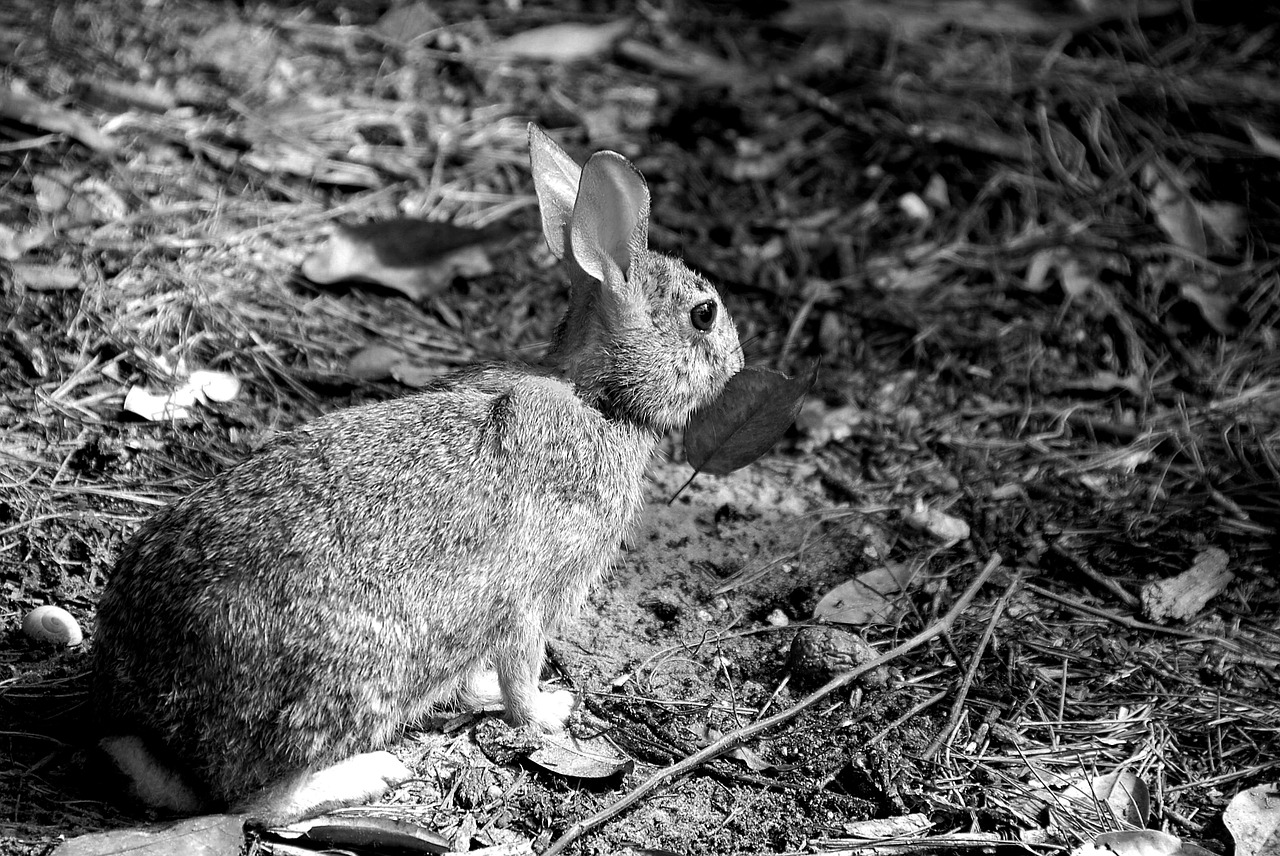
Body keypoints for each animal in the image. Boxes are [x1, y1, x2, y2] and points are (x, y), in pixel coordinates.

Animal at [90, 123, 742, 824]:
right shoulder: (532, 592)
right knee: (253, 802)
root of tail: (150, 728)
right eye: (704, 314)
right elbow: (521, 670)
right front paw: (548, 712)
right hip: (353, 679)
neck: (600, 398)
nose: (738, 357)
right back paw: (368, 774)